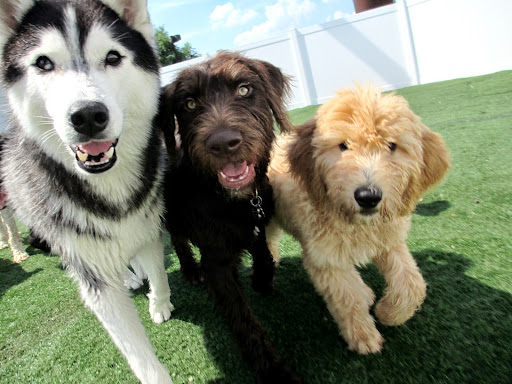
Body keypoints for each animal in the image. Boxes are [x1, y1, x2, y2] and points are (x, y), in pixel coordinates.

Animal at [0, 1, 174, 382]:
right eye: (43, 63)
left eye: (112, 57)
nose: (88, 115)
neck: (110, 190)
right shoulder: (93, 273)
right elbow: (139, 355)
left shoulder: (148, 223)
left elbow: (157, 269)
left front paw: (160, 302)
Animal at [160, 51, 302, 384]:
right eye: (189, 104)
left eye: (244, 89)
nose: (223, 143)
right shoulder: (217, 261)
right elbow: (241, 316)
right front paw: (274, 371)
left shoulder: (258, 220)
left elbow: (264, 254)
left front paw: (262, 281)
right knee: (179, 240)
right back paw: (190, 271)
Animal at [266, 86, 450, 354]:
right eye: (343, 145)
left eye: (391, 145)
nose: (368, 197)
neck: (355, 223)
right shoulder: (326, 258)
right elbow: (347, 297)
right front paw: (363, 336)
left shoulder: (388, 239)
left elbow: (412, 282)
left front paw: (389, 313)